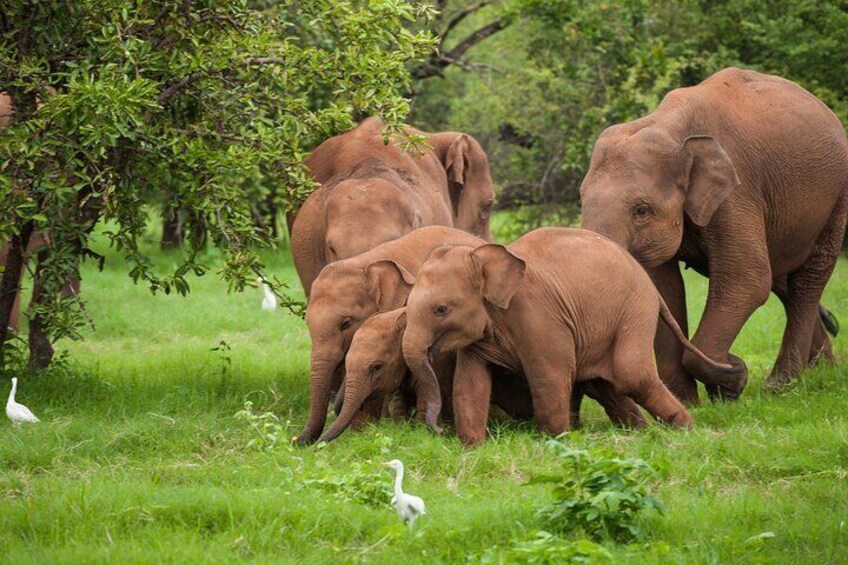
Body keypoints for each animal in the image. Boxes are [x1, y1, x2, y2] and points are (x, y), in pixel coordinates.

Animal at [400, 228, 732, 446]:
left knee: (630, 375)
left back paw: (686, 430)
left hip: (635, 311)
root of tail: (647, 281)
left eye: (441, 310)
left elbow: (549, 375)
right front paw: (473, 447)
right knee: (603, 384)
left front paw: (557, 442)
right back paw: (642, 432)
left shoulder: (539, 316)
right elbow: (470, 384)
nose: (436, 431)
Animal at [580, 67, 844, 400]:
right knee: (783, 280)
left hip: (837, 198)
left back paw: (782, 385)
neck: (668, 125)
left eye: (641, 210)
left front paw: (733, 378)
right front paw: (689, 400)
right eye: (581, 199)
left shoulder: (736, 192)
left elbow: (746, 277)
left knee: (807, 280)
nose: (734, 362)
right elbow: (663, 288)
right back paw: (824, 371)